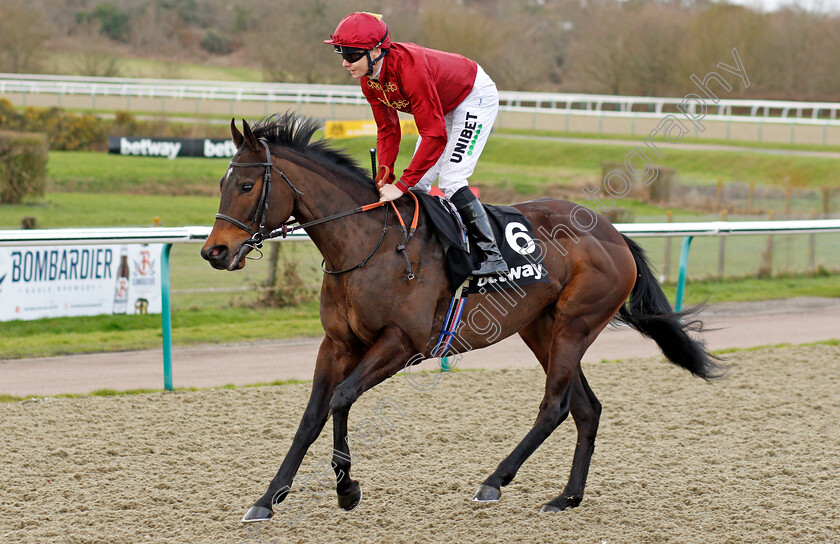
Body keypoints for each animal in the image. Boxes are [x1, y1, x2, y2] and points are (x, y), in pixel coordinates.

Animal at [200, 113, 720, 524]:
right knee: (586, 408)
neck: (367, 243)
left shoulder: (401, 342)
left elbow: (342, 399)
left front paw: (347, 489)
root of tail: (614, 234)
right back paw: (566, 497)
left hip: (576, 324)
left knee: (554, 406)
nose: (214, 252)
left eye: (246, 185)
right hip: (541, 328)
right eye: (223, 185)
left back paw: (494, 480)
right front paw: (268, 499)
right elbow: (311, 415)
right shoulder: (338, 344)